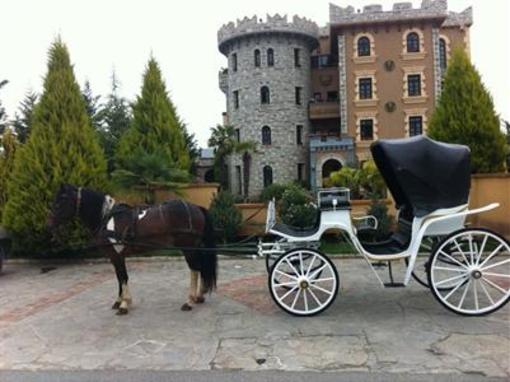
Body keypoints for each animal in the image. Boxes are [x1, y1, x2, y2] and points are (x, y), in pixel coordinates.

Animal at [46, 184, 216, 314]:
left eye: (62, 200)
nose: (49, 225)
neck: (106, 219)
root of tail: (196, 208)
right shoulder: (114, 256)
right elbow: (118, 277)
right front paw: (119, 300)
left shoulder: (118, 255)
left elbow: (123, 277)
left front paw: (124, 304)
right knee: (201, 267)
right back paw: (199, 295)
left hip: (188, 248)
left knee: (195, 269)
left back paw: (189, 301)